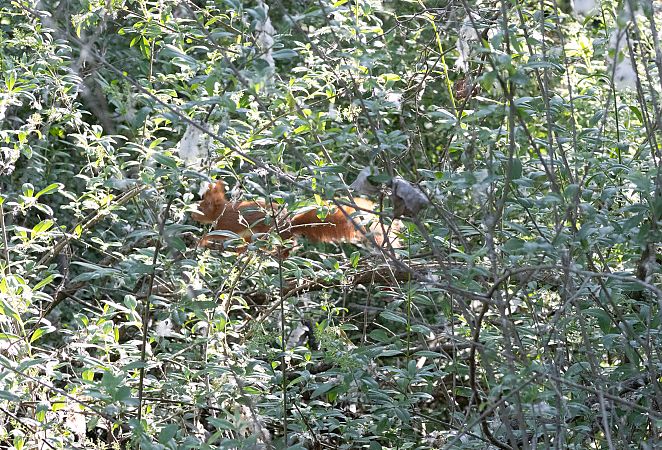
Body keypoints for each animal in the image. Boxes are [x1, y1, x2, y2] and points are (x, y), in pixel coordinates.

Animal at [191, 180, 390, 251]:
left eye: (202, 206)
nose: (191, 215)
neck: (222, 211)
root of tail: (290, 224)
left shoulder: (227, 224)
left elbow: (217, 234)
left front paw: (201, 240)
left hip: (273, 232)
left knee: (288, 247)